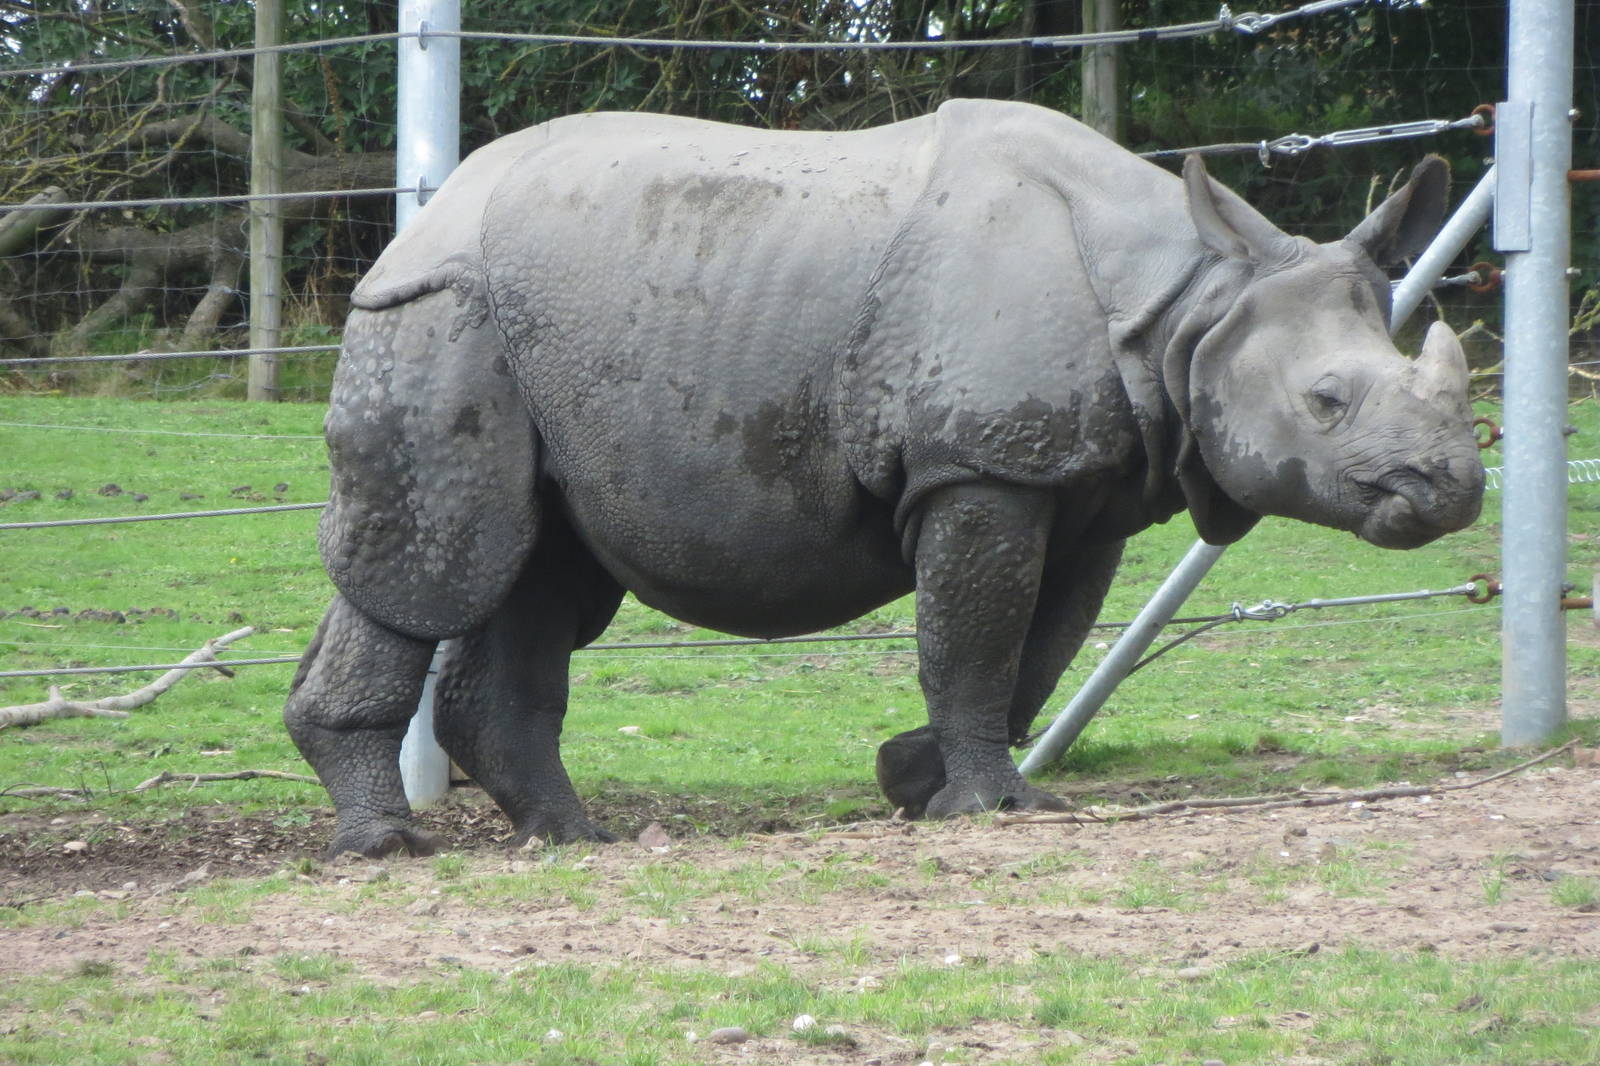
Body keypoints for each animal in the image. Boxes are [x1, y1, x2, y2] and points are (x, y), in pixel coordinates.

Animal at [285, 99, 1484, 858]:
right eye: (1326, 402)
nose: (1452, 492)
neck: (1193, 300)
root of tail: (425, 214)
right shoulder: (979, 465)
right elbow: (978, 637)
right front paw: (984, 807)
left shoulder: (1080, 483)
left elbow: (1039, 647)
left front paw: (913, 779)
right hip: (440, 312)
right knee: (442, 563)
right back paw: (390, 846)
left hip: (548, 330)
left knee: (542, 572)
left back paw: (573, 836)